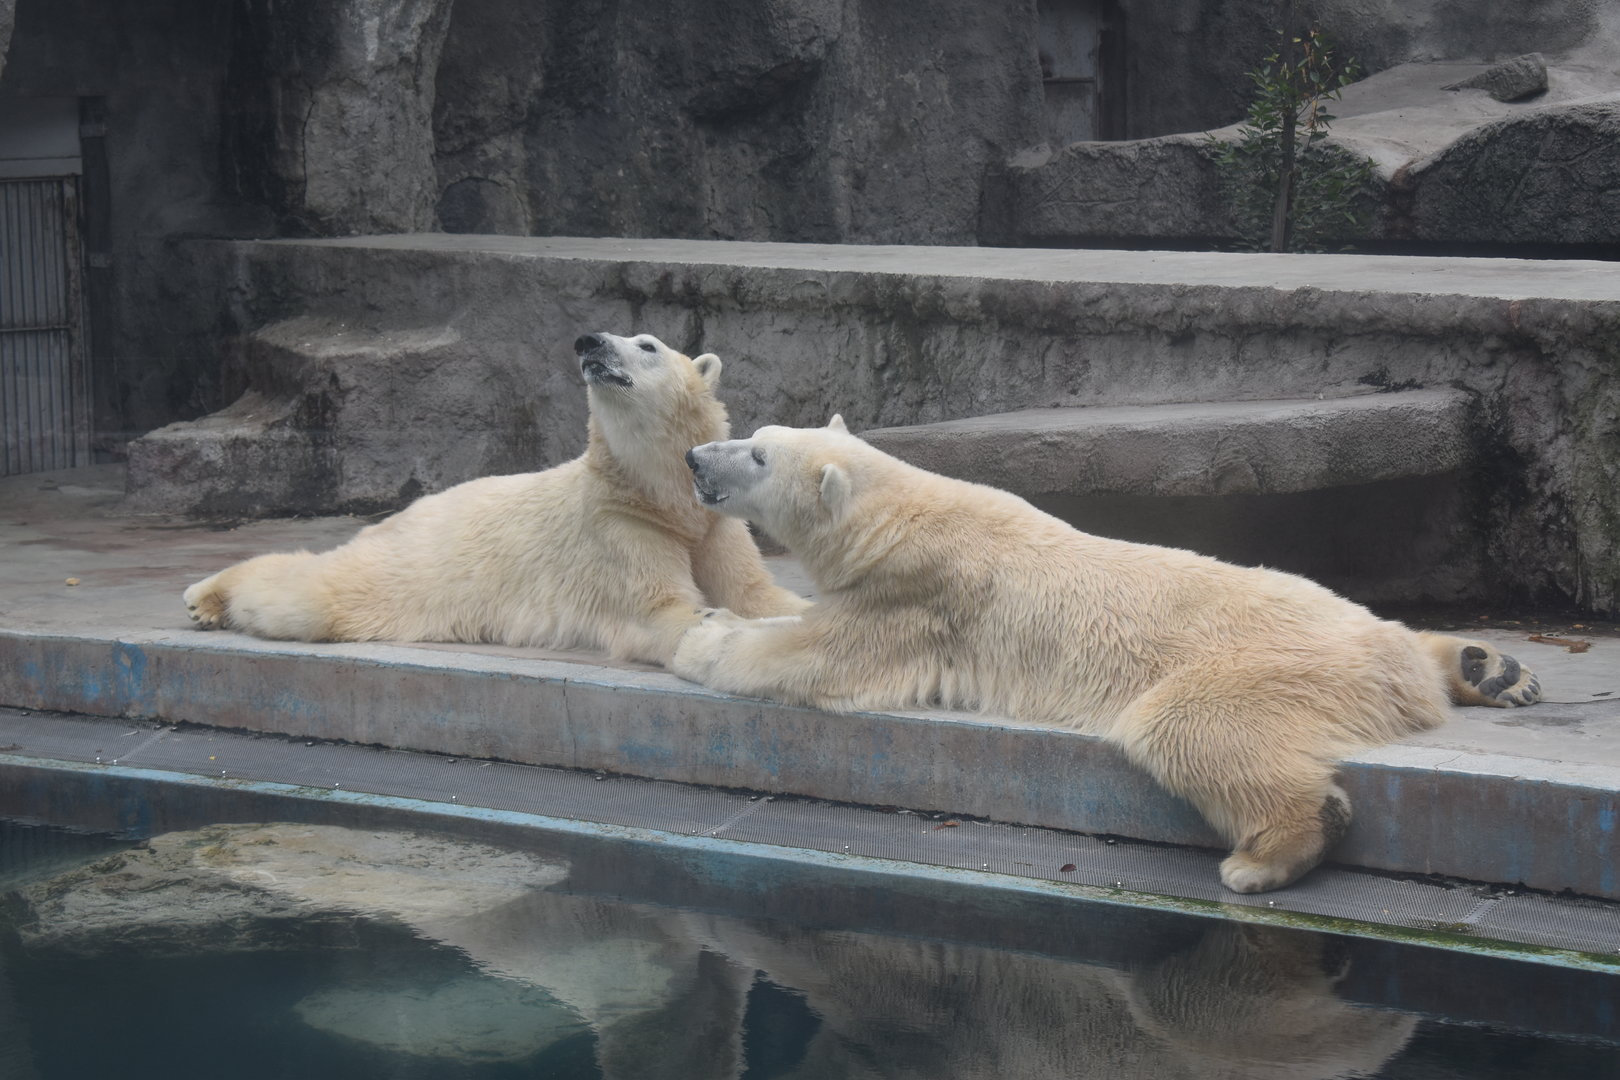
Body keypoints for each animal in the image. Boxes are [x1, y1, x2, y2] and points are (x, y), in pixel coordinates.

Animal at [182, 332, 809, 665]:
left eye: (648, 344)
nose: (590, 342)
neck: (661, 496)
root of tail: (403, 514)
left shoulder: (714, 527)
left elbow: (756, 591)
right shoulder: (617, 530)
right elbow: (661, 611)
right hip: (415, 569)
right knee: (313, 594)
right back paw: (205, 596)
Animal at [673, 417, 1541, 893]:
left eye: (757, 456)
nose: (695, 457)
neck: (899, 516)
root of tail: (1397, 677)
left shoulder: (918, 601)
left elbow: (815, 655)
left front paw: (702, 634)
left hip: (1278, 665)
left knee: (1185, 725)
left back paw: (1266, 856)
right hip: (1345, 619)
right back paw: (1489, 669)